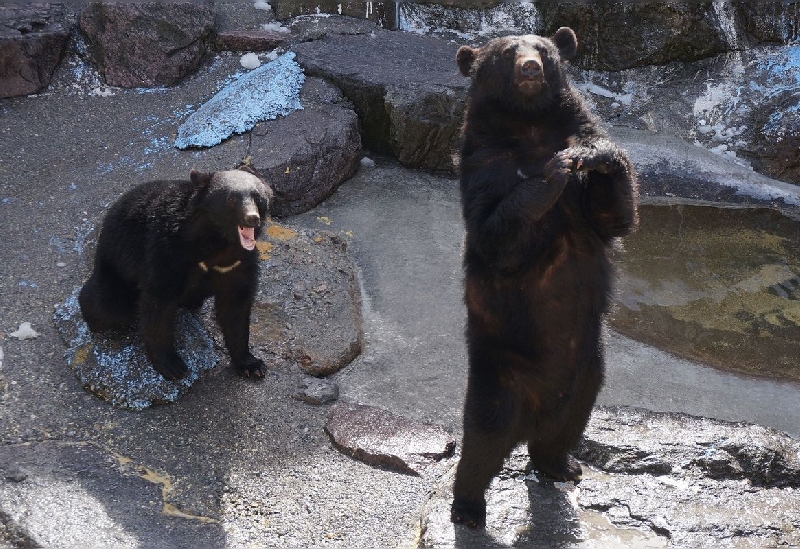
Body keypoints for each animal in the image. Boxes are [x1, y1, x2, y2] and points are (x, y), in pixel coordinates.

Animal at [79, 171, 272, 382]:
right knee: (107, 307)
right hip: (114, 270)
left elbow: (235, 306)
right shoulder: (167, 251)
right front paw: (173, 366)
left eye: (258, 198)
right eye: (231, 199)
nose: (252, 218)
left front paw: (252, 365)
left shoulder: (238, 264)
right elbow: (158, 304)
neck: (218, 244)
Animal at [454, 28, 640, 528]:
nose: (530, 68)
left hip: (588, 373)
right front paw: (553, 172)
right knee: (483, 439)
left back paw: (561, 464)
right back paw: (468, 506)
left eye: (543, 49)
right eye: (505, 54)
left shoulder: (579, 146)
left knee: (565, 428)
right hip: (501, 373)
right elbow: (496, 234)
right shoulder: (486, 167)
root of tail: (535, 413)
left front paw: (592, 156)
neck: (530, 126)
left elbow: (615, 214)